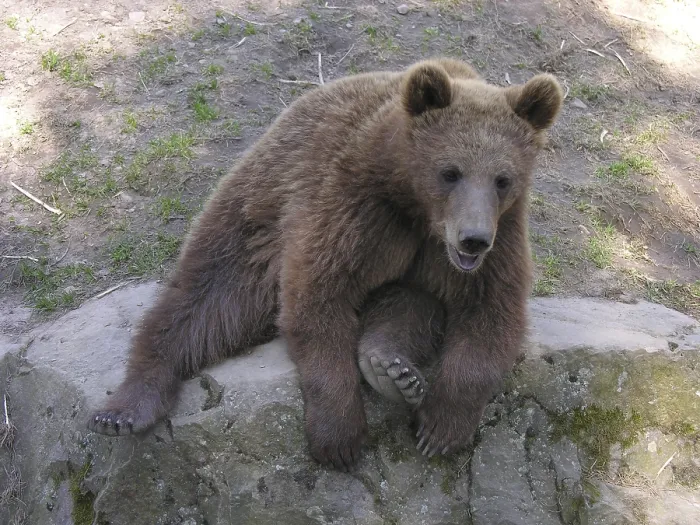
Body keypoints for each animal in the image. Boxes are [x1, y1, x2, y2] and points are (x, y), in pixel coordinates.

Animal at [87, 57, 563, 472]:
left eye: (503, 179)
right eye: (450, 171)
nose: (473, 238)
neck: (414, 207)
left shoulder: (500, 239)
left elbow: (491, 316)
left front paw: (441, 428)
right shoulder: (352, 207)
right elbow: (318, 298)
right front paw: (339, 438)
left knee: (410, 303)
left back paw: (390, 367)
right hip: (258, 217)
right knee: (207, 301)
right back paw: (124, 408)